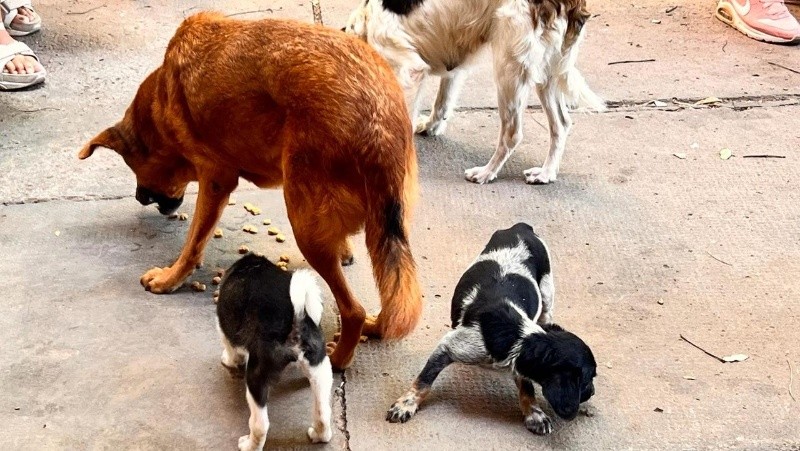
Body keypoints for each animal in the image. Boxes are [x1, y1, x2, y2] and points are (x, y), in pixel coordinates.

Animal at [77, 12, 422, 369]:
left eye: (134, 168)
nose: (139, 197)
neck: (162, 99)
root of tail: (378, 122)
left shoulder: (215, 180)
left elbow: (193, 244)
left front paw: (169, 279)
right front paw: (345, 250)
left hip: (304, 225)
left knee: (352, 310)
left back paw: (340, 356)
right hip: (381, 226)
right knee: (392, 291)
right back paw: (378, 324)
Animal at [216, 253, 332, 450]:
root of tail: (295, 318)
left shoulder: (224, 326)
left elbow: (230, 349)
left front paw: (228, 359)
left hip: (257, 378)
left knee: (260, 425)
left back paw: (249, 445)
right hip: (321, 368)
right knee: (323, 412)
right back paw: (319, 435)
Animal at [345, 0, 605, 185]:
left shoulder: (408, 71)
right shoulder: (452, 64)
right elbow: (442, 102)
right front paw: (431, 127)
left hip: (509, 68)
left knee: (512, 134)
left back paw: (486, 173)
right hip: (546, 70)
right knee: (561, 124)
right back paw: (546, 173)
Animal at [386, 223, 596, 435]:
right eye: (588, 379)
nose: (593, 392)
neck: (517, 334)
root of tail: (521, 227)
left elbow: (526, 387)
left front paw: (534, 413)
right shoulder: (449, 346)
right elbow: (424, 380)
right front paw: (406, 404)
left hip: (546, 295)